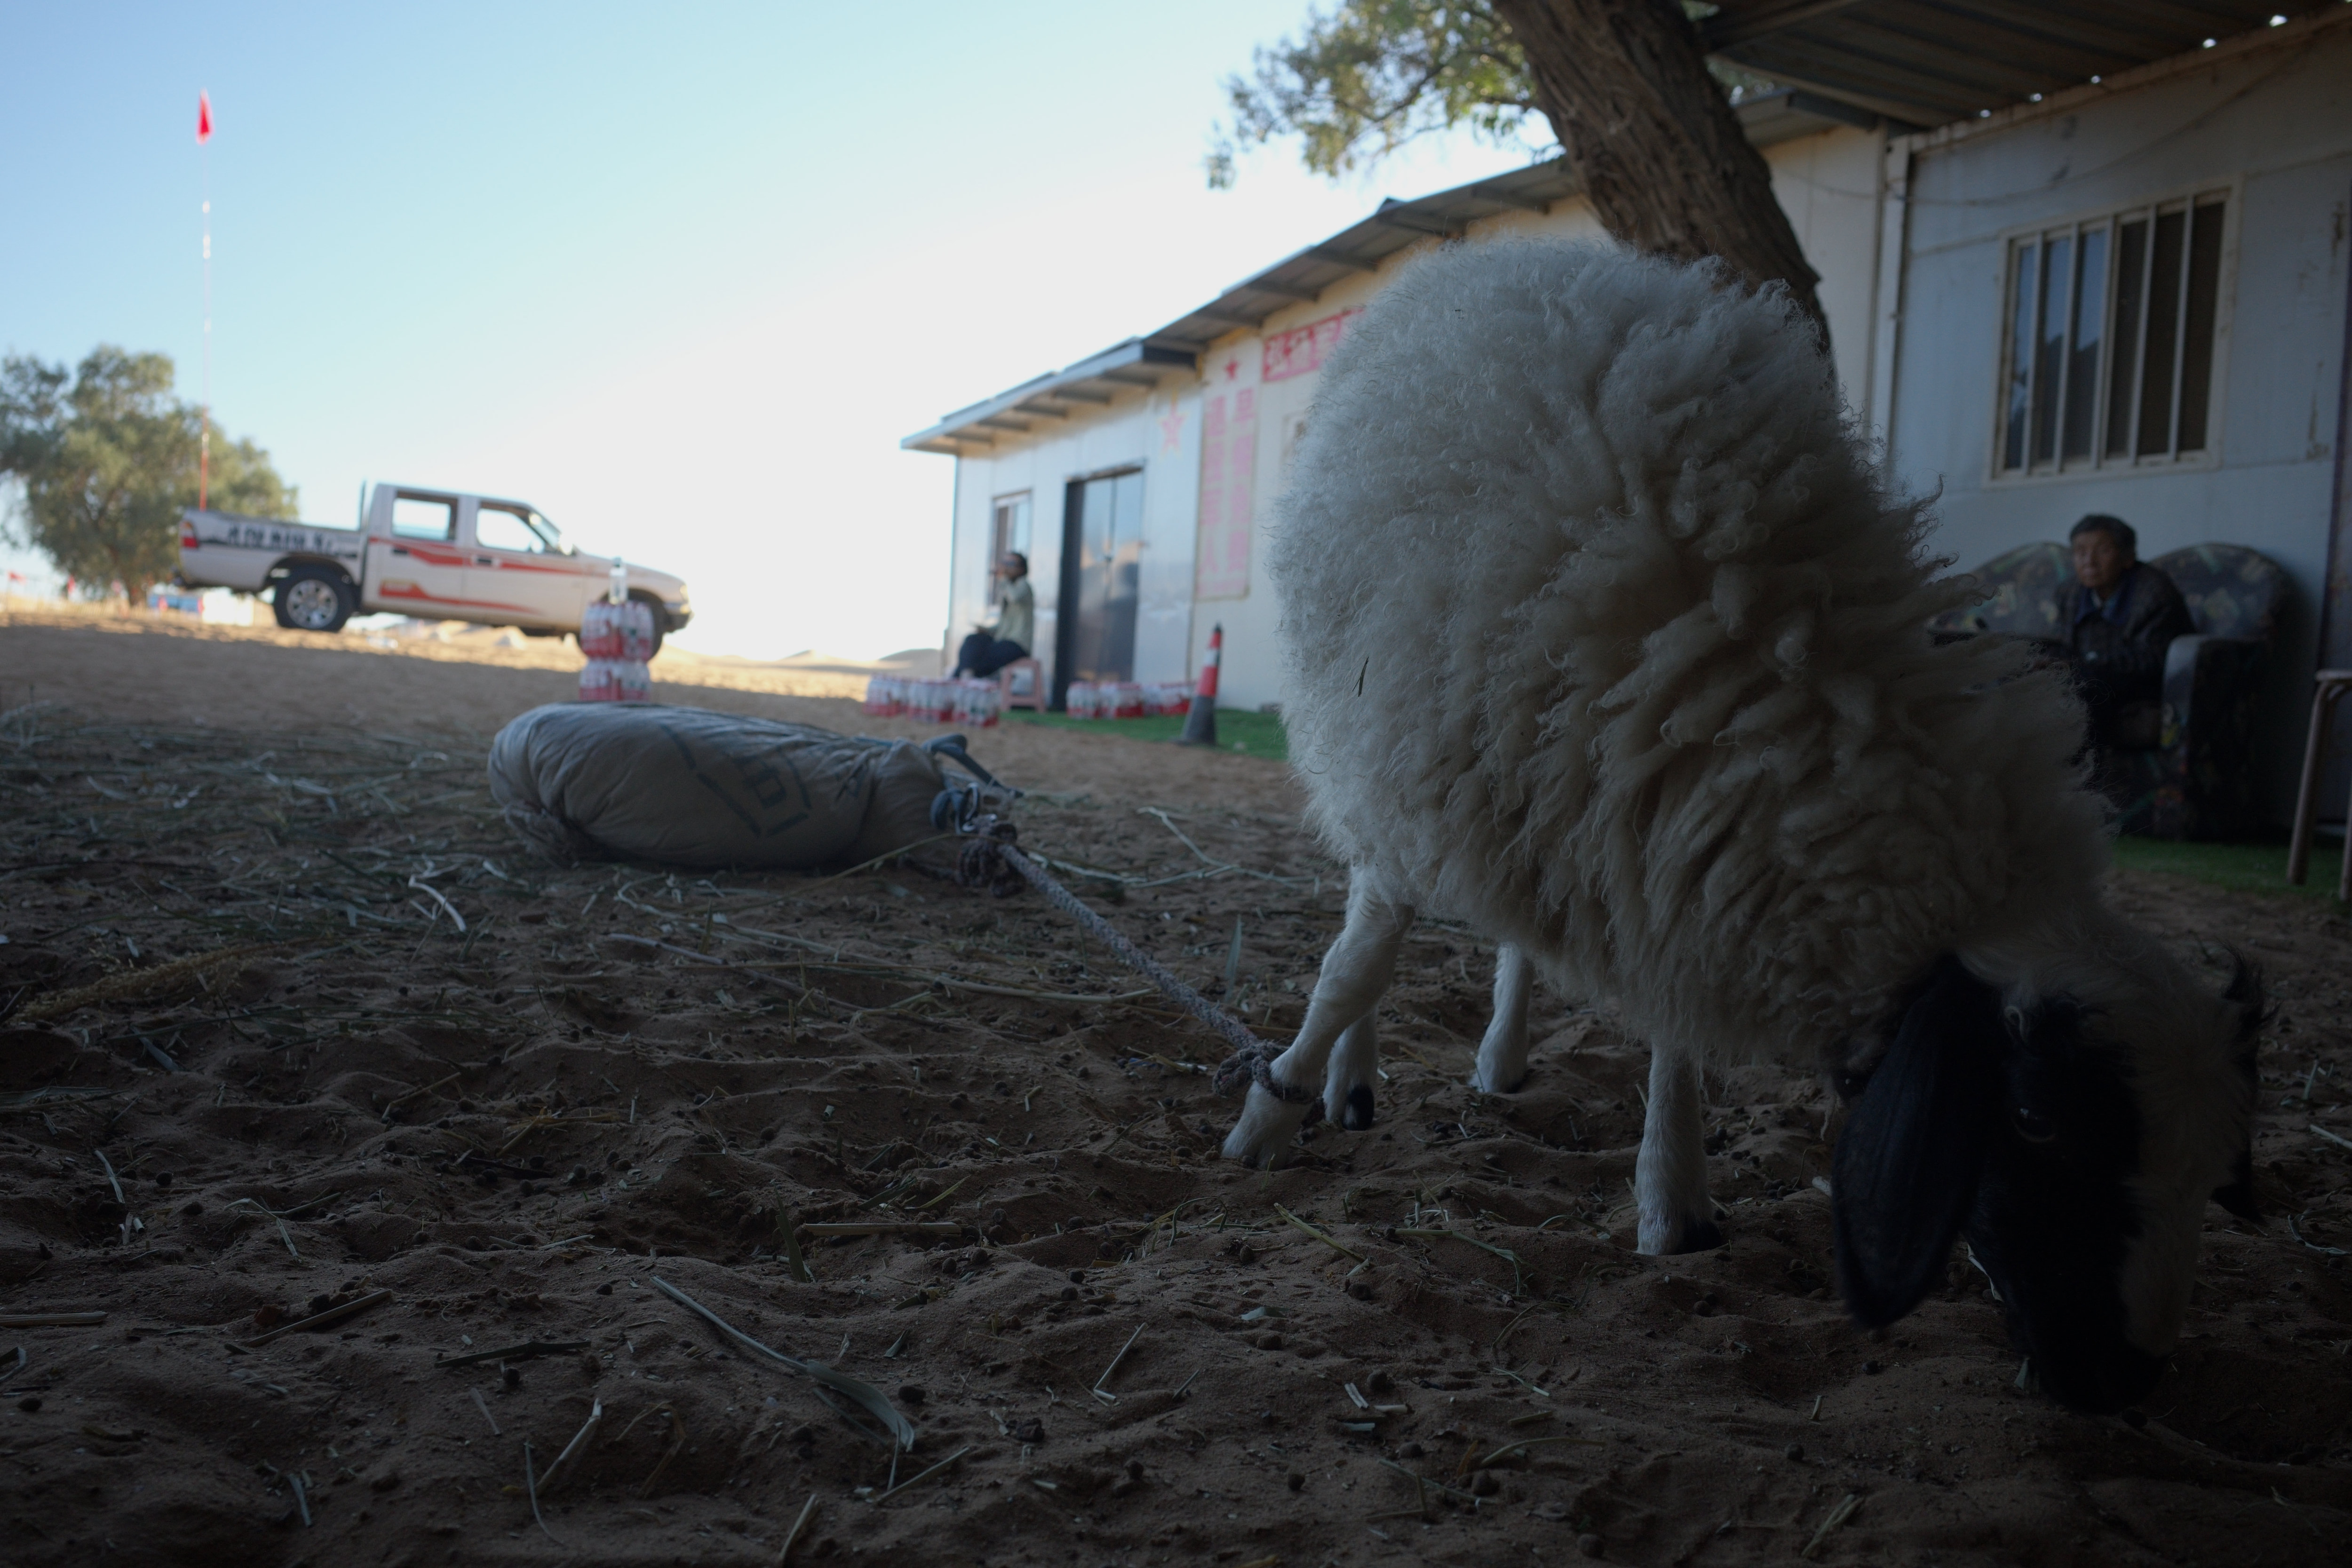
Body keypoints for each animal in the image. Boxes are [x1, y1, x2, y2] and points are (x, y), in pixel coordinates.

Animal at [1222, 239, 2263, 1413]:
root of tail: (1517, 251)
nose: (2122, 1380)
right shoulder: (1453, 769)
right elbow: (1354, 965)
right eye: (2037, 1118)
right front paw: (1268, 1116)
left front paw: (1672, 1201)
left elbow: (1669, 1021)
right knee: (1367, 915)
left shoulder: (1652, 825)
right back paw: (1348, 1078)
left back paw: (1499, 1056)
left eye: (2216, 1162)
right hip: (1379, 729)